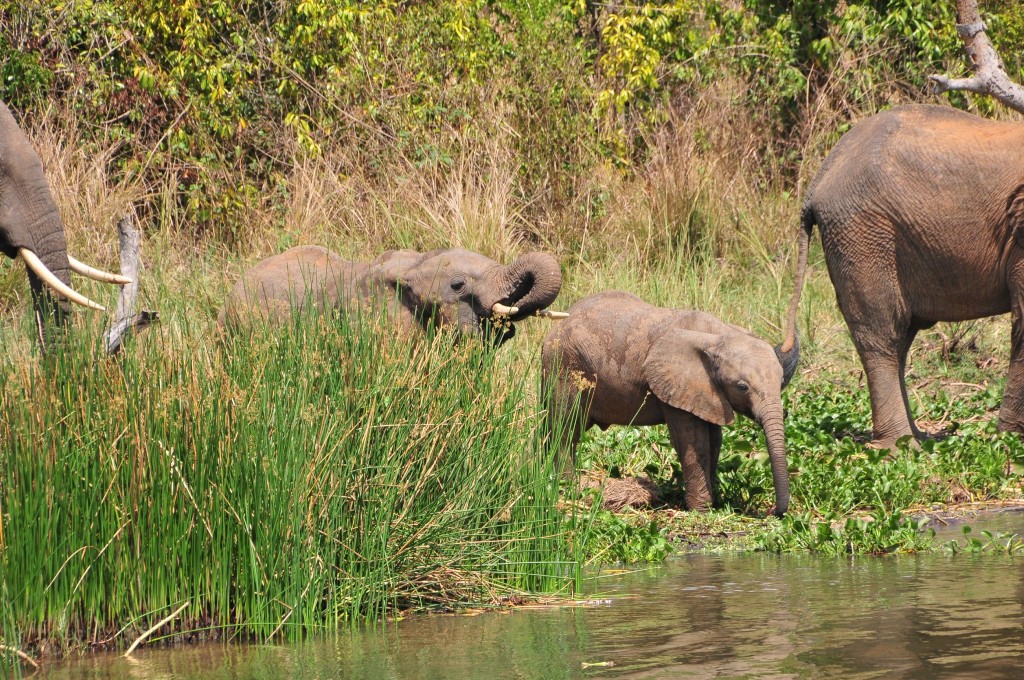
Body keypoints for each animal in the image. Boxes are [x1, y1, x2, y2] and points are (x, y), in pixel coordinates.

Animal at [541, 291, 799, 516]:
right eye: (742, 387)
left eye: (781, 382)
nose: (773, 511)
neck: (717, 336)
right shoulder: (675, 383)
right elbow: (694, 441)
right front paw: (702, 510)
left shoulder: (708, 390)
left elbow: (714, 439)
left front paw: (713, 502)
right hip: (564, 365)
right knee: (565, 428)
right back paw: (567, 486)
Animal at [782, 104, 1024, 447]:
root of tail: (821, 174)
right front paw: (1011, 440)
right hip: (864, 233)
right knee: (881, 331)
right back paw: (899, 446)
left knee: (900, 336)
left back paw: (919, 438)